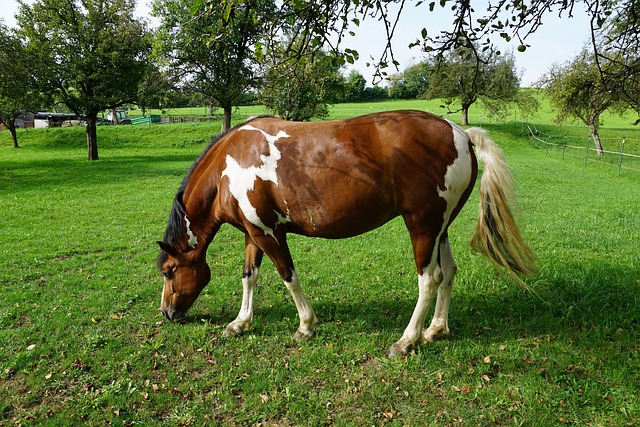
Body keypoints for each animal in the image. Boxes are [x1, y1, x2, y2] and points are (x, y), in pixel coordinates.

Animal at [156, 108, 536, 356]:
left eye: (169, 271)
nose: (167, 313)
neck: (231, 163)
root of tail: (460, 133)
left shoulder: (269, 234)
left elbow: (289, 277)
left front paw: (305, 326)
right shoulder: (255, 233)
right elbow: (249, 277)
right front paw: (240, 323)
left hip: (422, 226)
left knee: (430, 279)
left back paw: (407, 340)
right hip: (440, 228)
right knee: (450, 273)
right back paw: (435, 330)